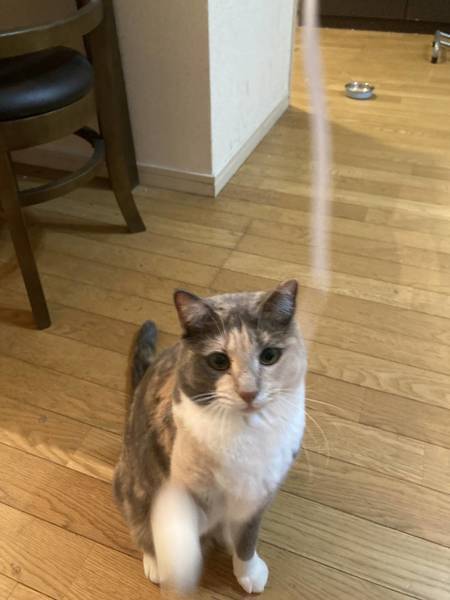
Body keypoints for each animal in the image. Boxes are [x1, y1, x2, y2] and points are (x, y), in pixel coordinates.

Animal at [113, 279, 307, 594]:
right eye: (219, 361)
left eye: (269, 356)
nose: (249, 392)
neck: (246, 434)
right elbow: (176, 536)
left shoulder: (259, 495)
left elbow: (247, 538)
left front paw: (247, 571)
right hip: (134, 482)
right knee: (141, 524)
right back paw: (155, 562)